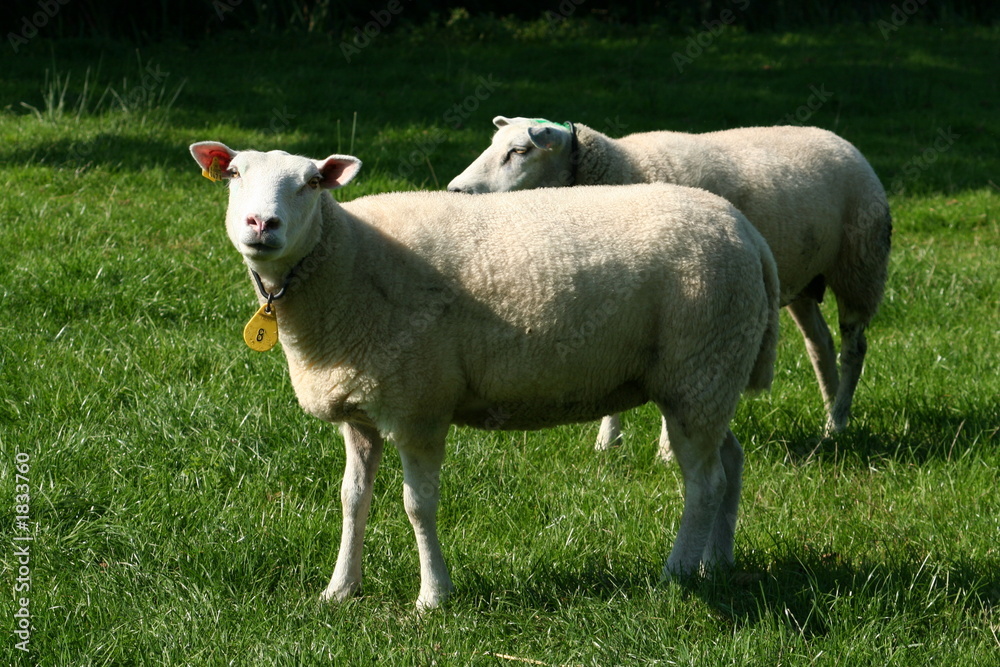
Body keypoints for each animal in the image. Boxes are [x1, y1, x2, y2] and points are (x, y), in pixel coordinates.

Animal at [189, 140, 780, 610]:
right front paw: (339, 590)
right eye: (234, 173)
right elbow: (352, 499)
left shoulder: (419, 407)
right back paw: (717, 561)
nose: (262, 225)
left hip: (700, 366)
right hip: (710, 376)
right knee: (730, 461)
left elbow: (417, 506)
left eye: (311, 183)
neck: (349, 261)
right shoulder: (360, 413)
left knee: (704, 482)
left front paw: (433, 596)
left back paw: (678, 573)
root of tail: (747, 232)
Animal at [448, 117, 892, 453]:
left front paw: (664, 450)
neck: (622, 168)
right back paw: (832, 419)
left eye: (520, 151)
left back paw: (839, 417)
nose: (455, 191)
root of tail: (838, 138)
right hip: (802, 282)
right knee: (821, 346)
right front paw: (608, 443)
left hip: (860, 266)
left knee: (853, 348)